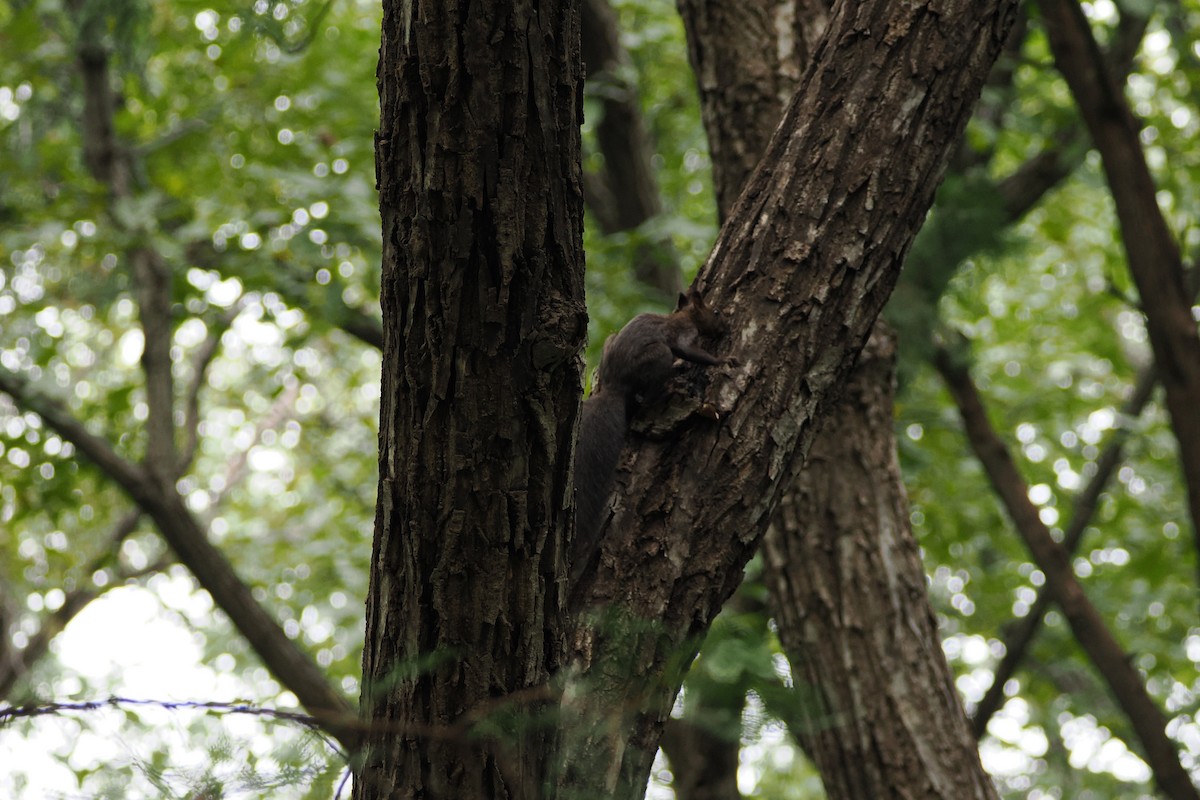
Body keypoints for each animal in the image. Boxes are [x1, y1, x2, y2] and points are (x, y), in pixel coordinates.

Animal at [572, 288, 727, 583]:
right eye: (714, 312)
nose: (727, 327)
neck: (681, 315)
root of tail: (615, 388)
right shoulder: (685, 333)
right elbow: (689, 350)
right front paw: (723, 360)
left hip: (610, 342)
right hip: (659, 355)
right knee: (647, 396)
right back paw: (668, 386)